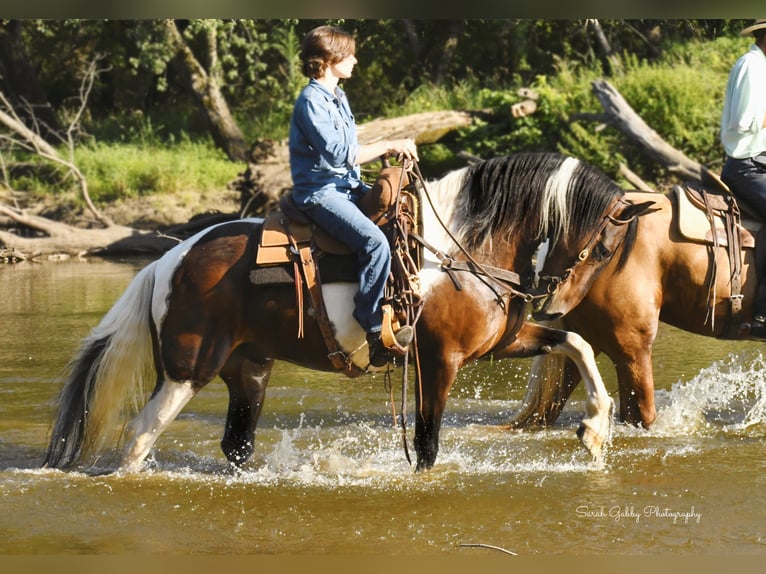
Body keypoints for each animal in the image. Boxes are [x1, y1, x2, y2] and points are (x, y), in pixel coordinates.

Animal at [42, 152, 648, 472]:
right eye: (603, 247)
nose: (555, 298)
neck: (462, 248)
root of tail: (169, 259)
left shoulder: (496, 345)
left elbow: (576, 343)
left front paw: (595, 429)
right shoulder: (438, 362)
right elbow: (426, 445)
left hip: (249, 371)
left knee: (236, 444)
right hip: (186, 371)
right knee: (141, 434)